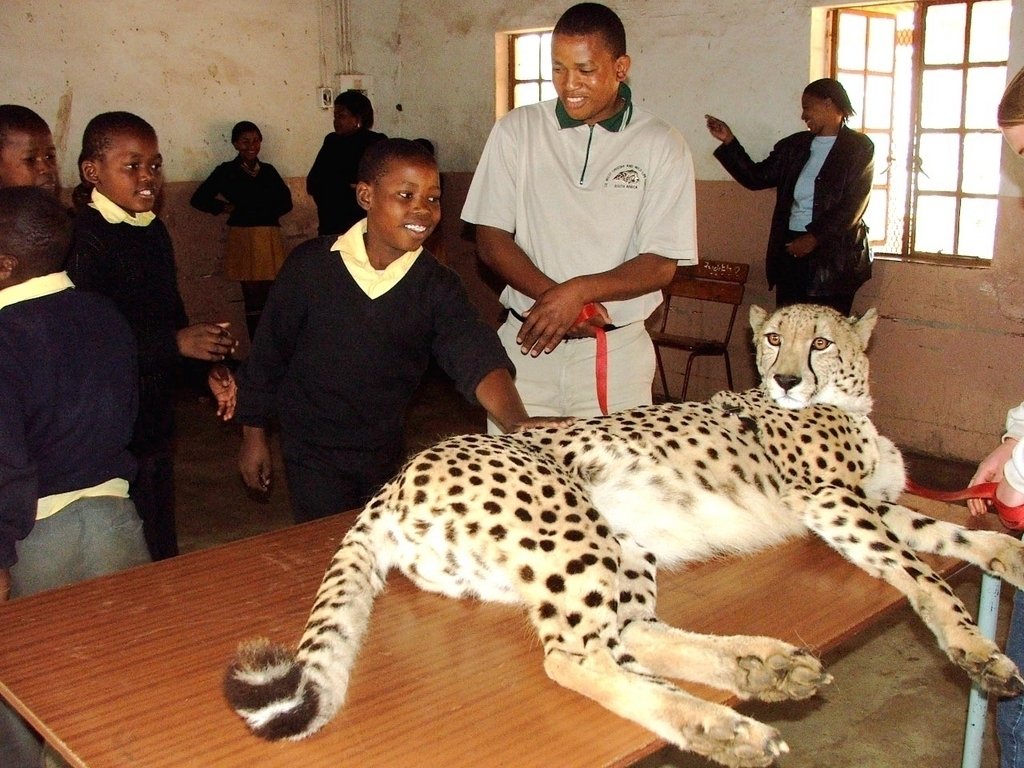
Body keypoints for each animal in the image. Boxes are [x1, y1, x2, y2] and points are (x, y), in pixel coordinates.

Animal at [224, 303, 1024, 765]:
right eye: (772, 340)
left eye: (822, 342)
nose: (789, 379)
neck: (844, 402)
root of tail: (395, 479)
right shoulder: (830, 500)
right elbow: (921, 573)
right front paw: (976, 650)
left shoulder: (874, 503)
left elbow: (949, 537)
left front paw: (1006, 548)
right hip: (572, 531)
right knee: (575, 657)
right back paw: (725, 727)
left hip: (620, 543)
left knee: (630, 633)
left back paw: (760, 668)